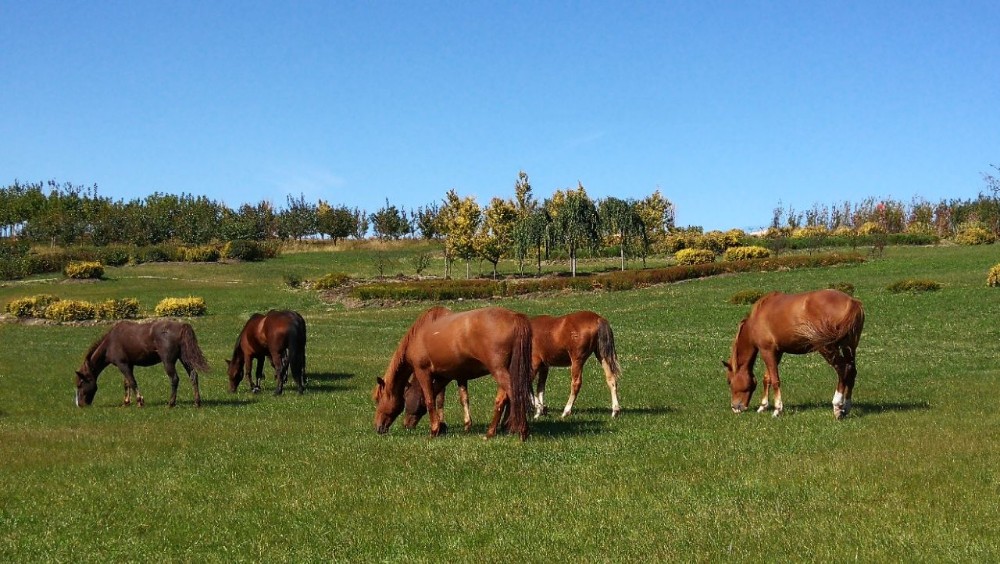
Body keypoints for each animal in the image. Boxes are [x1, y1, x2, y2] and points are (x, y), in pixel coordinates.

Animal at [74, 320, 209, 408]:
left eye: (80, 384)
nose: (80, 404)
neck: (111, 342)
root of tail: (182, 326)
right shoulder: (129, 364)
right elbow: (127, 383)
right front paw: (126, 402)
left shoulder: (122, 364)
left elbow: (132, 382)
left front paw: (139, 401)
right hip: (185, 358)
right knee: (193, 376)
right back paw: (197, 402)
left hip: (168, 361)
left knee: (175, 379)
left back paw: (171, 403)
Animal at [374, 306, 532, 438]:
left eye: (378, 400)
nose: (378, 427)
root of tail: (515, 317)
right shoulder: (448, 375)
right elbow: (450, 399)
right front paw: (452, 426)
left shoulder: (423, 372)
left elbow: (430, 399)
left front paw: (435, 429)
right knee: (502, 400)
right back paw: (492, 432)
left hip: (498, 371)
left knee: (515, 395)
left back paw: (521, 431)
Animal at [402, 310, 620, 430]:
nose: (407, 421)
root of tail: (598, 319)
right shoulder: (543, 366)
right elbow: (539, 388)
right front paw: (540, 409)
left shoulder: (533, 364)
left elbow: (526, 386)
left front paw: (538, 409)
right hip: (601, 355)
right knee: (611, 379)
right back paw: (615, 410)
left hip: (577, 359)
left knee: (576, 383)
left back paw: (566, 411)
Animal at [724, 290, 864, 418]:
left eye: (729, 381)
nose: (735, 407)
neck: (757, 317)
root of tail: (852, 303)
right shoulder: (777, 352)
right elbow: (767, 378)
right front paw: (763, 406)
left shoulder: (767, 351)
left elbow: (775, 380)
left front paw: (777, 410)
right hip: (849, 347)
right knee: (851, 371)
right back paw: (846, 407)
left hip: (827, 348)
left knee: (842, 370)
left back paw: (837, 407)